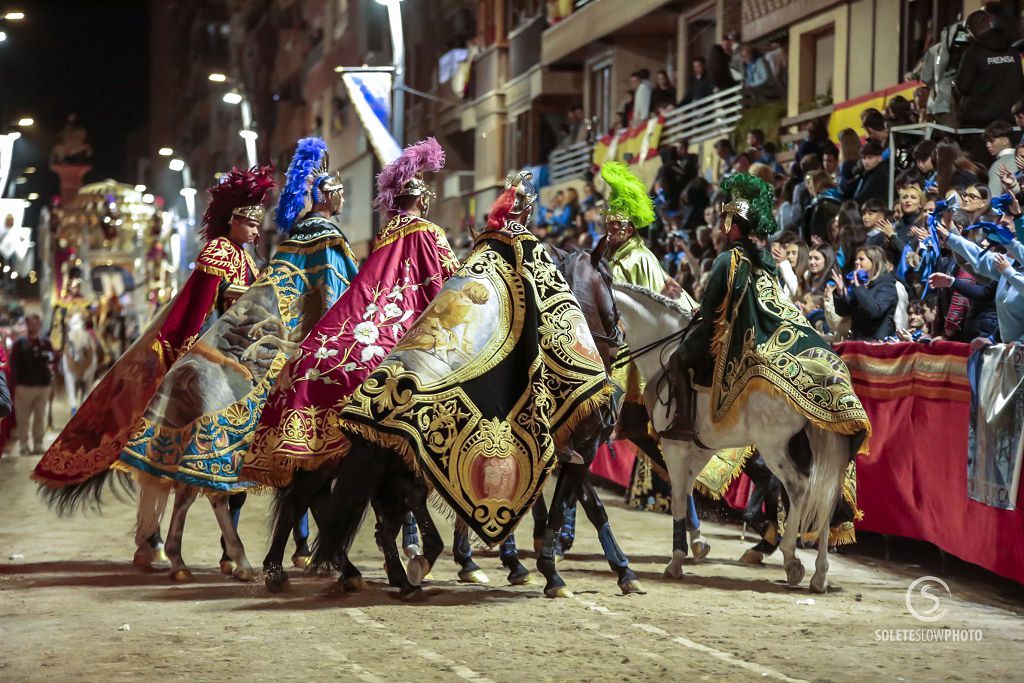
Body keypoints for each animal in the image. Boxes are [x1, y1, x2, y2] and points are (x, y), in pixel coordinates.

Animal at [606, 282, 856, 593]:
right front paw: (696, 544)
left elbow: (678, 498)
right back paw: (817, 573)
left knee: (798, 489)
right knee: (825, 498)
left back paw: (789, 558)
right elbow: (686, 491)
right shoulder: (699, 448)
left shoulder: (674, 446)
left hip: (774, 448)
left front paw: (677, 559)